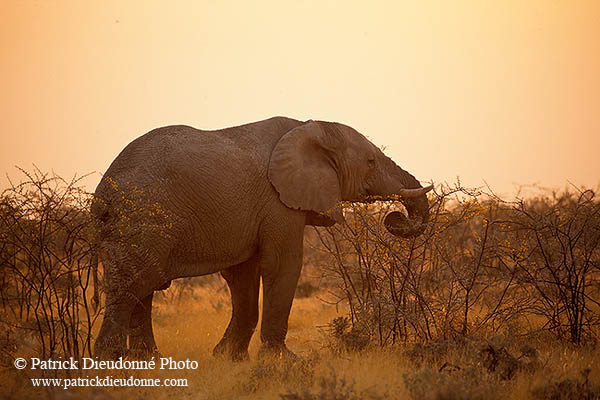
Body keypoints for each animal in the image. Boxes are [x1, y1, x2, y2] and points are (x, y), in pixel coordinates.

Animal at [91, 115, 432, 360]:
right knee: (134, 284)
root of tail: (102, 195)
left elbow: (244, 274)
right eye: (371, 162)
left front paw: (228, 358)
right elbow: (282, 265)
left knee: (143, 288)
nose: (394, 217)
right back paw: (113, 362)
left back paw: (150, 360)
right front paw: (284, 360)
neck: (311, 126)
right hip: (142, 221)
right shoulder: (278, 202)